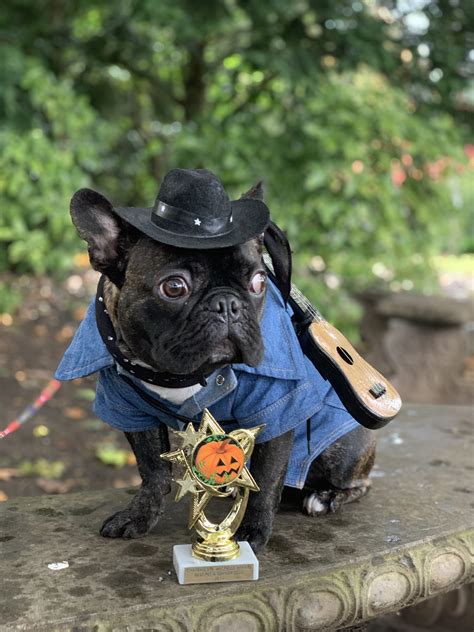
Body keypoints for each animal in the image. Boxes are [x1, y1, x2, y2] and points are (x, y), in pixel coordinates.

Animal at [55, 169, 374, 552]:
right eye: (174, 287)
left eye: (259, 281)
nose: (227, 304)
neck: (180, 374)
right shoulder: (128, 407)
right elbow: (151, 468)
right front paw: (140, 515)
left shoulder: (277, 406)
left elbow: (267, 476)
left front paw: (252, 529)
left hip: (344, 450)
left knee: (358, 483)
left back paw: (325, 497)